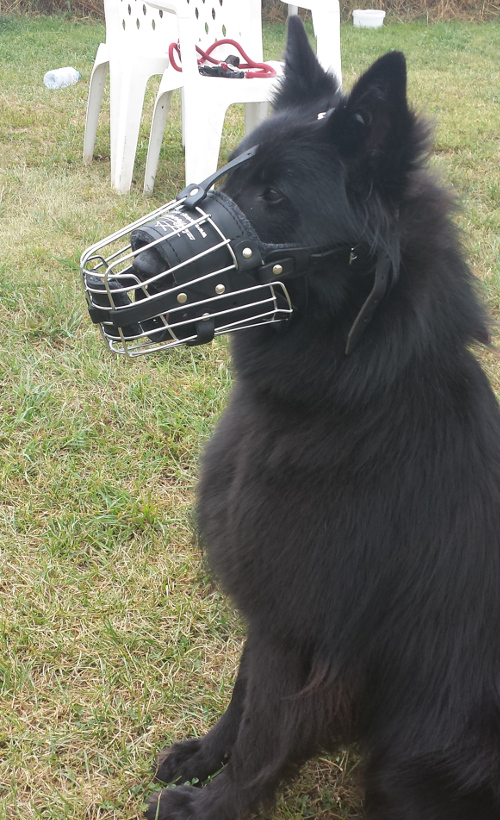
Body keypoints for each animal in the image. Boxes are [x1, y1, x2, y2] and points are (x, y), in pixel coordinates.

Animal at [144, 14, 500, 820]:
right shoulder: (268, 603)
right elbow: (243, 693)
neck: (349, 400)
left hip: (415, 763)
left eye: (273, 196)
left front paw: (220, 803)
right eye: (229, 175)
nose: (140, 261)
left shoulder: (299, 622)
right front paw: (203, 758)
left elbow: (268, 723)